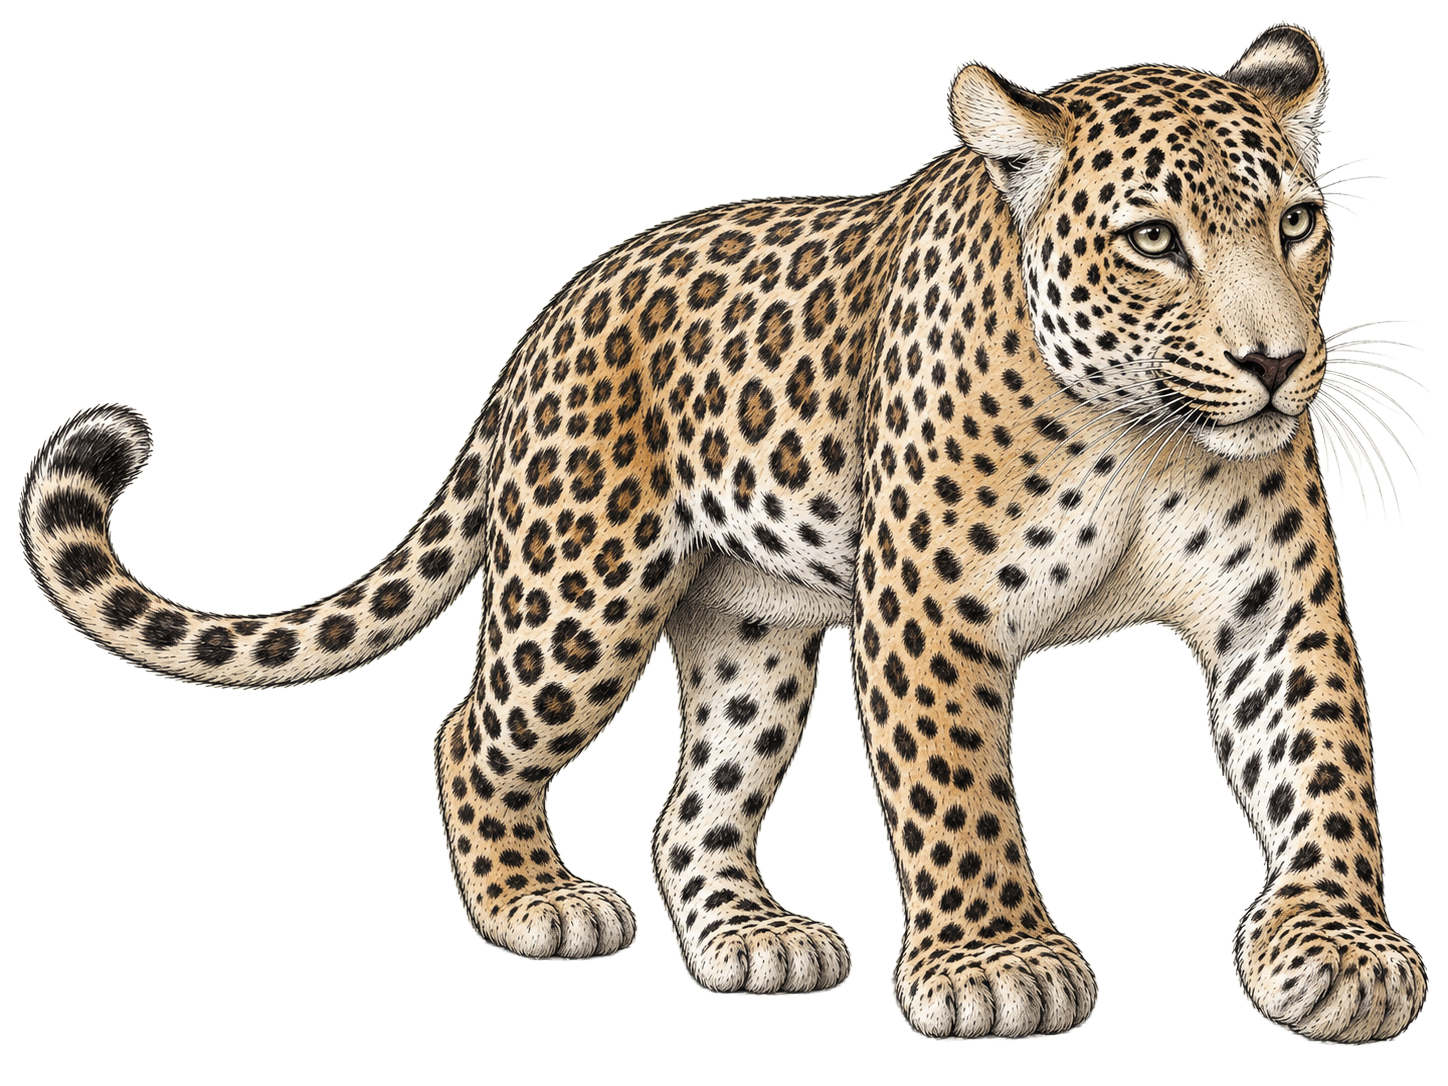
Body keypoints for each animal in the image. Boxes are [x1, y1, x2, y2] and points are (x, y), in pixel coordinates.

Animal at [22, 24, 1427, 1042]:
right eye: (1151, 239)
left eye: (1296, 223)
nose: (1274, 363)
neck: (1138, 433)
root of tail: (553, 316)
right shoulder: (933, 611)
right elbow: (957, 792)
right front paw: (997, 962)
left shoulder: (1274, 607)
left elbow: (1320, 766)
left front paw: (1336, 951)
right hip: (580, 598)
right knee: (472, 731)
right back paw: (534, 901)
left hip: (749, 627)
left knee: (692, 804)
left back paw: (753, 936)